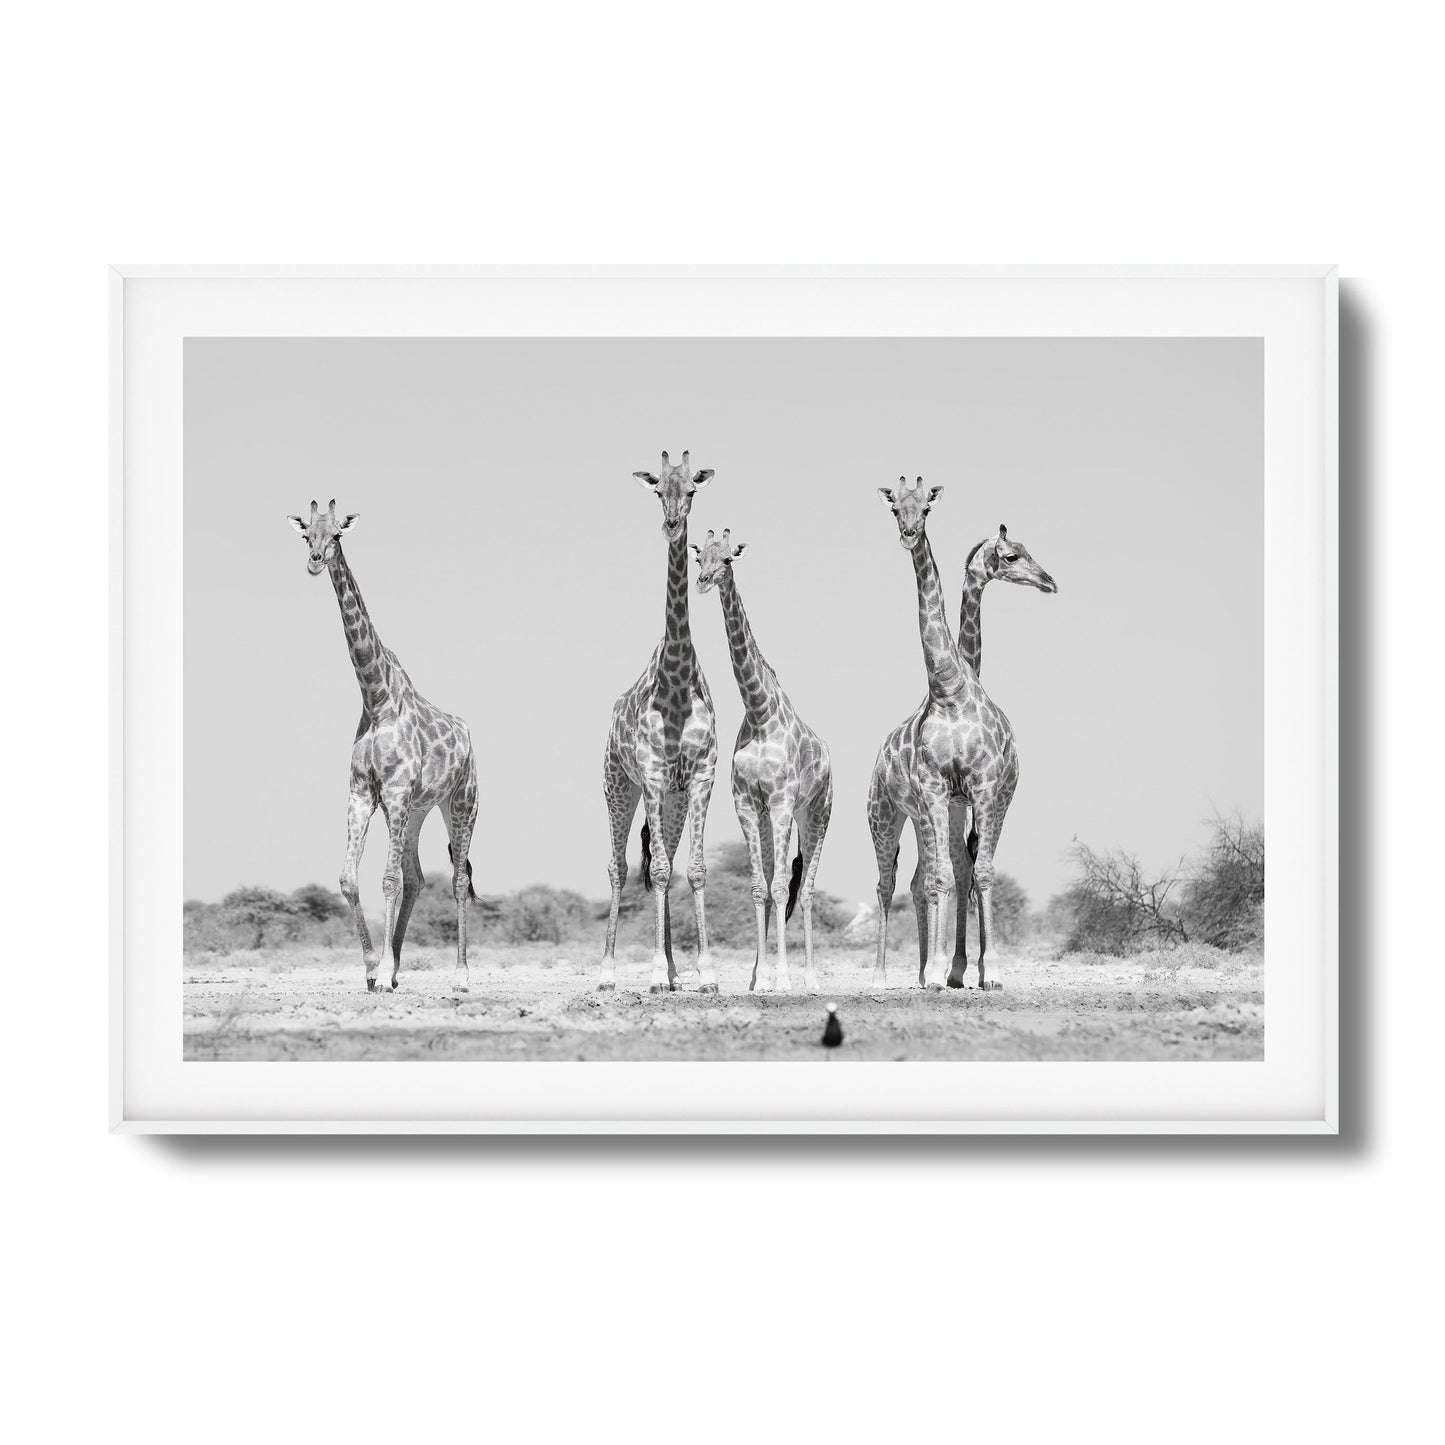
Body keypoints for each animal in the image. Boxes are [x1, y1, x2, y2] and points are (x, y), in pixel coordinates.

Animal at [286, 500, 481, 994]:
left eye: (337, 534)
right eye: (307, 534)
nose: (314, 561)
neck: (376, 700)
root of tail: (468, 737)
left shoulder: (393, 793)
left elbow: (388, 880)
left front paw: (384, 967)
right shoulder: (362, 793)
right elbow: (349, 879)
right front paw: (375, 968)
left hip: (461, 803)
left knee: (456, 878)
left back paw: (461, 976)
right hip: (418, 811)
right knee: (418, 877)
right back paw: (395, 971)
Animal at [693, 529, 834, 993]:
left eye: (727, 559)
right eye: (699, 557)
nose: (702, 581)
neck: (758, 711)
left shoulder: (782, 801)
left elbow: (780, 888)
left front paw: (784, 979)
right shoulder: (746, 802)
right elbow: (759, 886)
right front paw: (758, 978)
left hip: (816, 815)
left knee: (805, 889)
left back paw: (810, 978)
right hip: (778, 816)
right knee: (780, 883)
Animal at [901, 523, 1058, 977]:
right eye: (1011, 556)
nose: (1049, 581)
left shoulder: (980, 793)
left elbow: (975, 871)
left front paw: (977, 968)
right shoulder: (949, 796)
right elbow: (956, 872)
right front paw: (953, 968)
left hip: (994, 798)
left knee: (969, 869)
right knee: (949, 871)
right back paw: (944, 968)